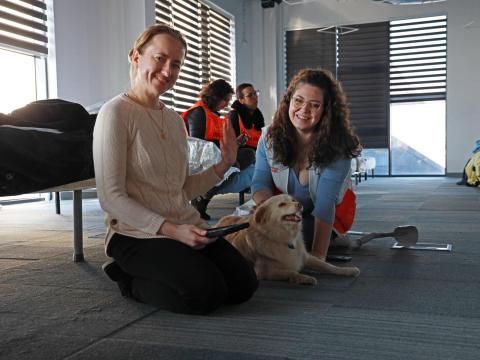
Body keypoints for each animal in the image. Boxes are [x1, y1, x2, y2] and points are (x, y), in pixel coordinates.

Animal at [216, 194, 358, 284]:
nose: (299, 204)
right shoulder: (264, 271)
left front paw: (347, 270)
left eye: (293, 200)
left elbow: (328, 266)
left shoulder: (305, 257)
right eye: (282, 204)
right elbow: (291, 272)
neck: (284, 236)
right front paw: (305, 278)